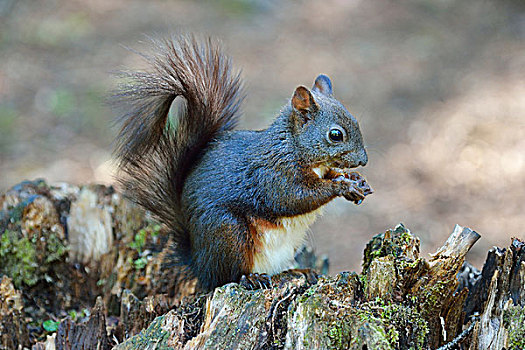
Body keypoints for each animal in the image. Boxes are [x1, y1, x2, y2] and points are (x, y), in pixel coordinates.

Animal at [113, 37, 370, 292]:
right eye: (335, 135)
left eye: (356, 122)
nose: (363, 161)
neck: (294, 147)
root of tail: (197, 260)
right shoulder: (273, 175)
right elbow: (294, 198)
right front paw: (343, 186)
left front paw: (356, 181)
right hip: (229, 233)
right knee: (225, 277)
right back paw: (250, 278)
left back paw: (299, 271)